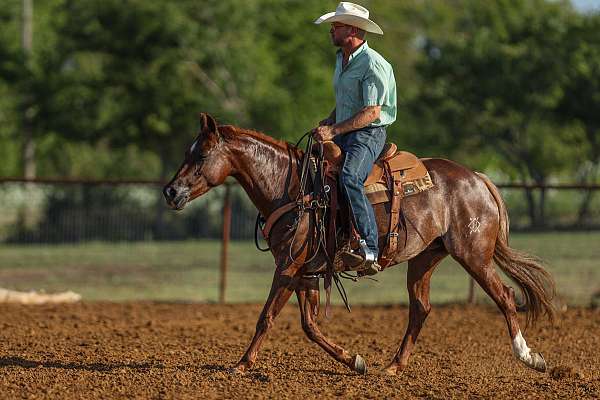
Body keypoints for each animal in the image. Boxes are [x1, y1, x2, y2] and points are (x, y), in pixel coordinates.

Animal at [163, 112, 552, 376]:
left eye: (201, 155)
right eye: (186, 151)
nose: (170, 191)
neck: (292, 187)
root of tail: (477, 178)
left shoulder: (288, 266)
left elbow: (267, 317)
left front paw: (242, 364)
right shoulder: (305, 270)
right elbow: (309, 325)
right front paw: (355, 361)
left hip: (473, 254)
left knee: (505, 296)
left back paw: (529, 356)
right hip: (424, 258)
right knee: (421, 308)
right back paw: (393, 366)